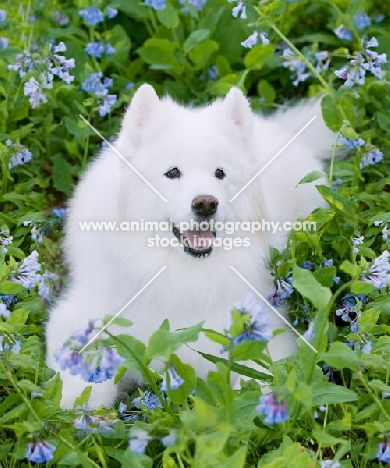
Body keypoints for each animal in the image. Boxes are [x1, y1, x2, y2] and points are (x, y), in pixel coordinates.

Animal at [45, 86, 332, 408]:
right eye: (172, 172)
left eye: (220, 173)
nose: (205, 203)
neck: (179, 274)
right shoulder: (76, 318)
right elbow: (82, 375)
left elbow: (261, 380)